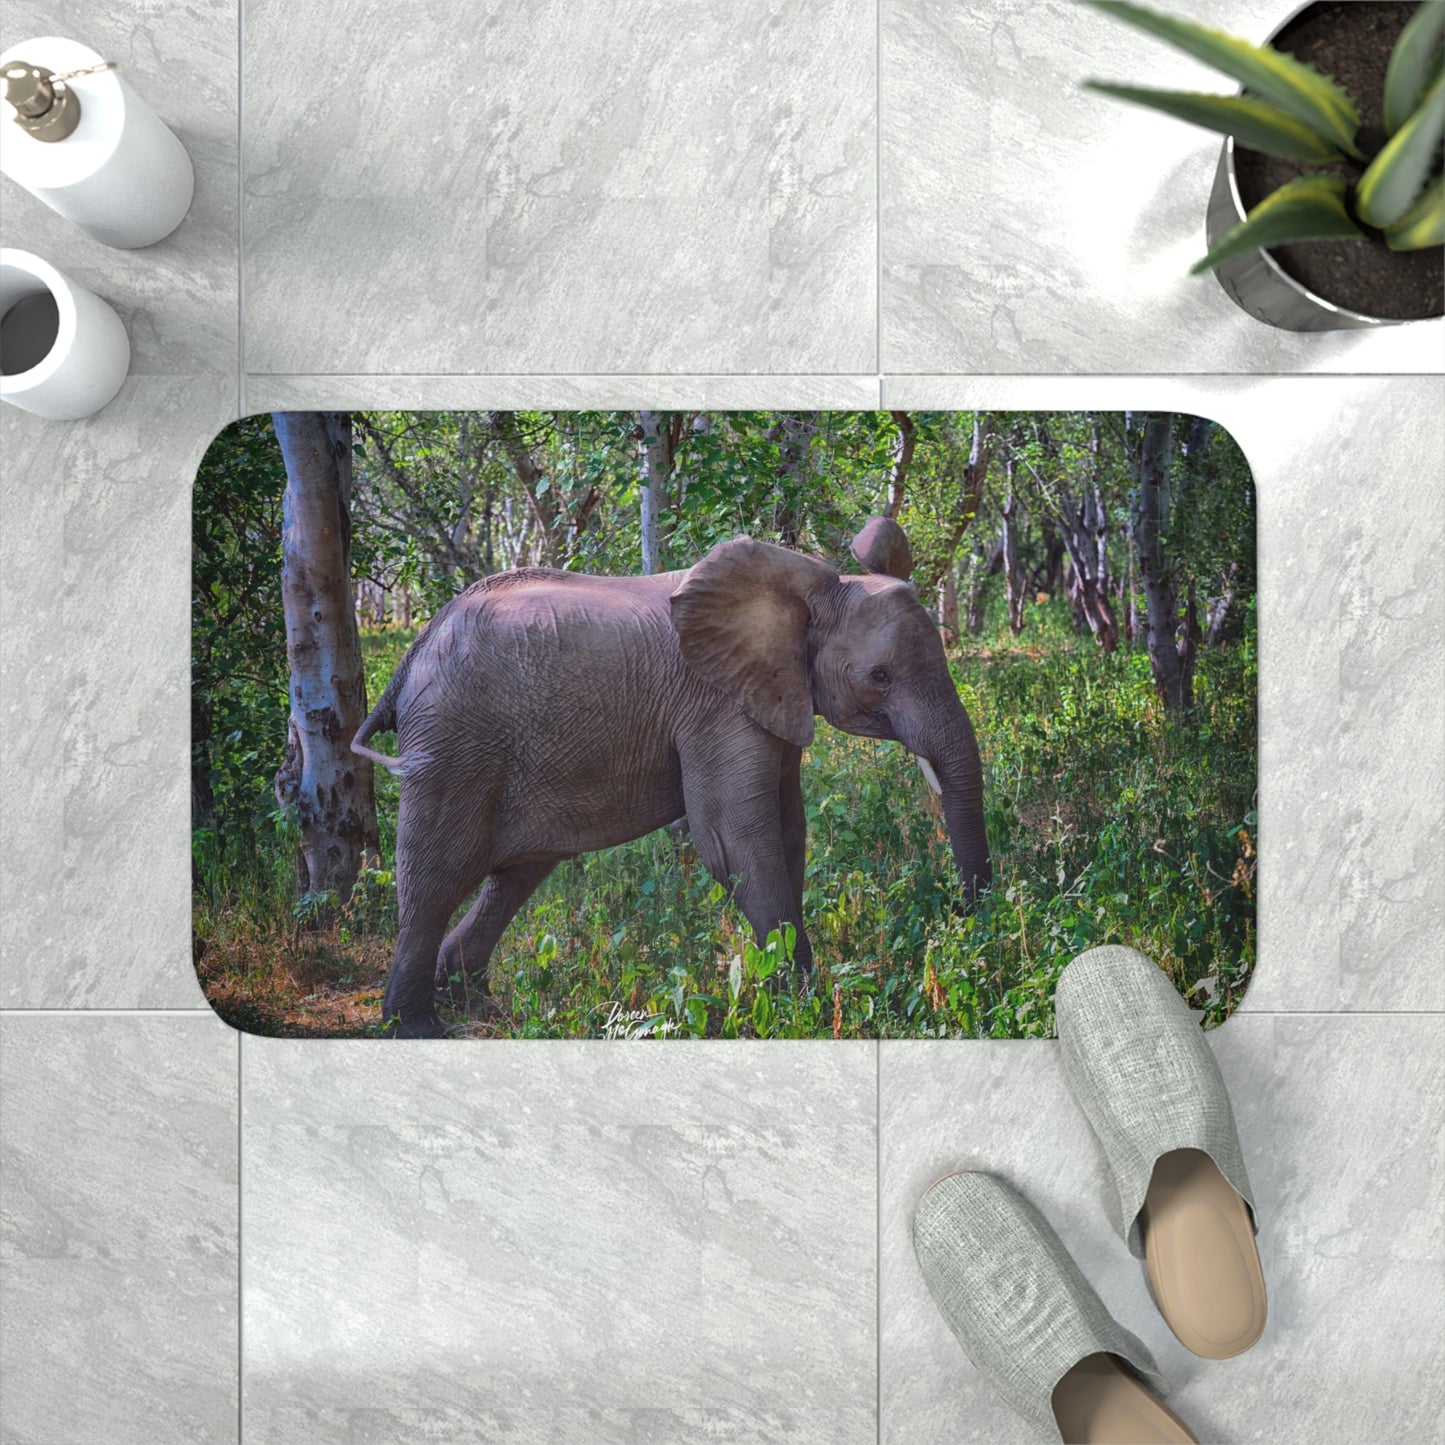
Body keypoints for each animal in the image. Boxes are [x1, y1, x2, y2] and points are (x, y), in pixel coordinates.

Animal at [352, 516, 991, 1037]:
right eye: (880, 676)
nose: (967, 920)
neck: (810, 588)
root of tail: (413, 652)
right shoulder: (716, 703)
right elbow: (732, 839)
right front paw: (799, 1008)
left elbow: (788, 832)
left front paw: (796, 995)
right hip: (455, 741)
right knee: (436, 876)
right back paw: (415, 1028)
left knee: (517, 874)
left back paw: (472, 1004)